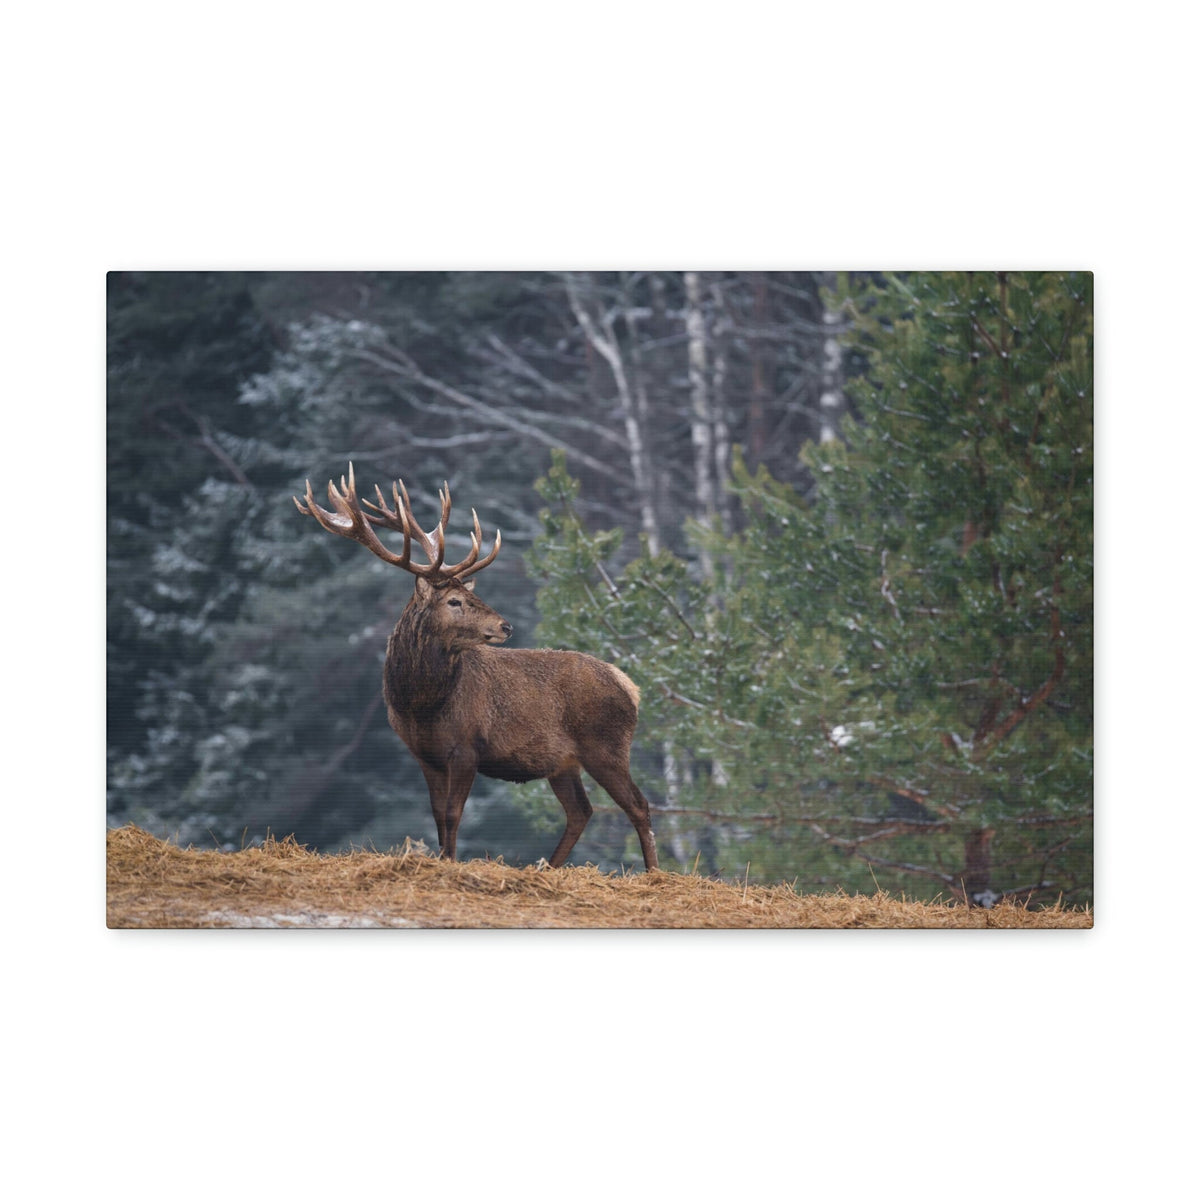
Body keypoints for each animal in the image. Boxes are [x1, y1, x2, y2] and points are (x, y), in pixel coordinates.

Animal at [294, 464, 659, 871]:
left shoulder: (467, 747)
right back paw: (547, 866)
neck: (421, 705)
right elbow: (438, 815)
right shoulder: (426, 755)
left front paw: (451, 862)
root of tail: (630, 686)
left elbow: (454, 814)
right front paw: (441, 860)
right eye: (454, 601)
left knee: (638, 805)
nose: (506, 626)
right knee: (581, 811)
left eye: (470, 595)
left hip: (605, 745)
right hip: (563, 762)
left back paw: (653, 873)